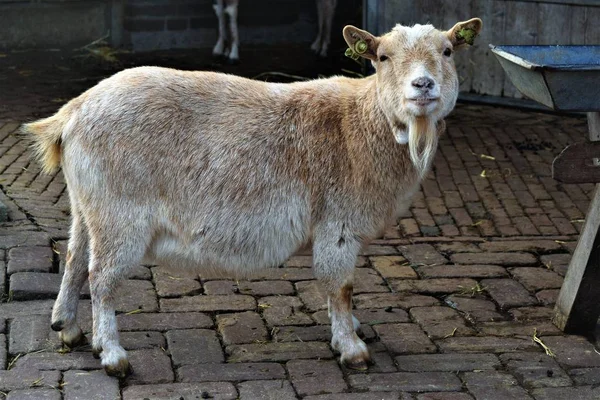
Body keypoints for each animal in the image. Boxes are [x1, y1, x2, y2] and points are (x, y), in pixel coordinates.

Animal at [22, 17, 482, 376]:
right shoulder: (338, 223)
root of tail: (72, 114)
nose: (422, 85)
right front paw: (352, 350)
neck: (362, 122)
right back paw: (113, 355)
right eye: (383, 56)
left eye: (447, 51)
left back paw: (68, 327)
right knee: (101, 276)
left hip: (88, 205)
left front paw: (349, 331)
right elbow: (340, 284)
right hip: (120, 212)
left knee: (75, 257)